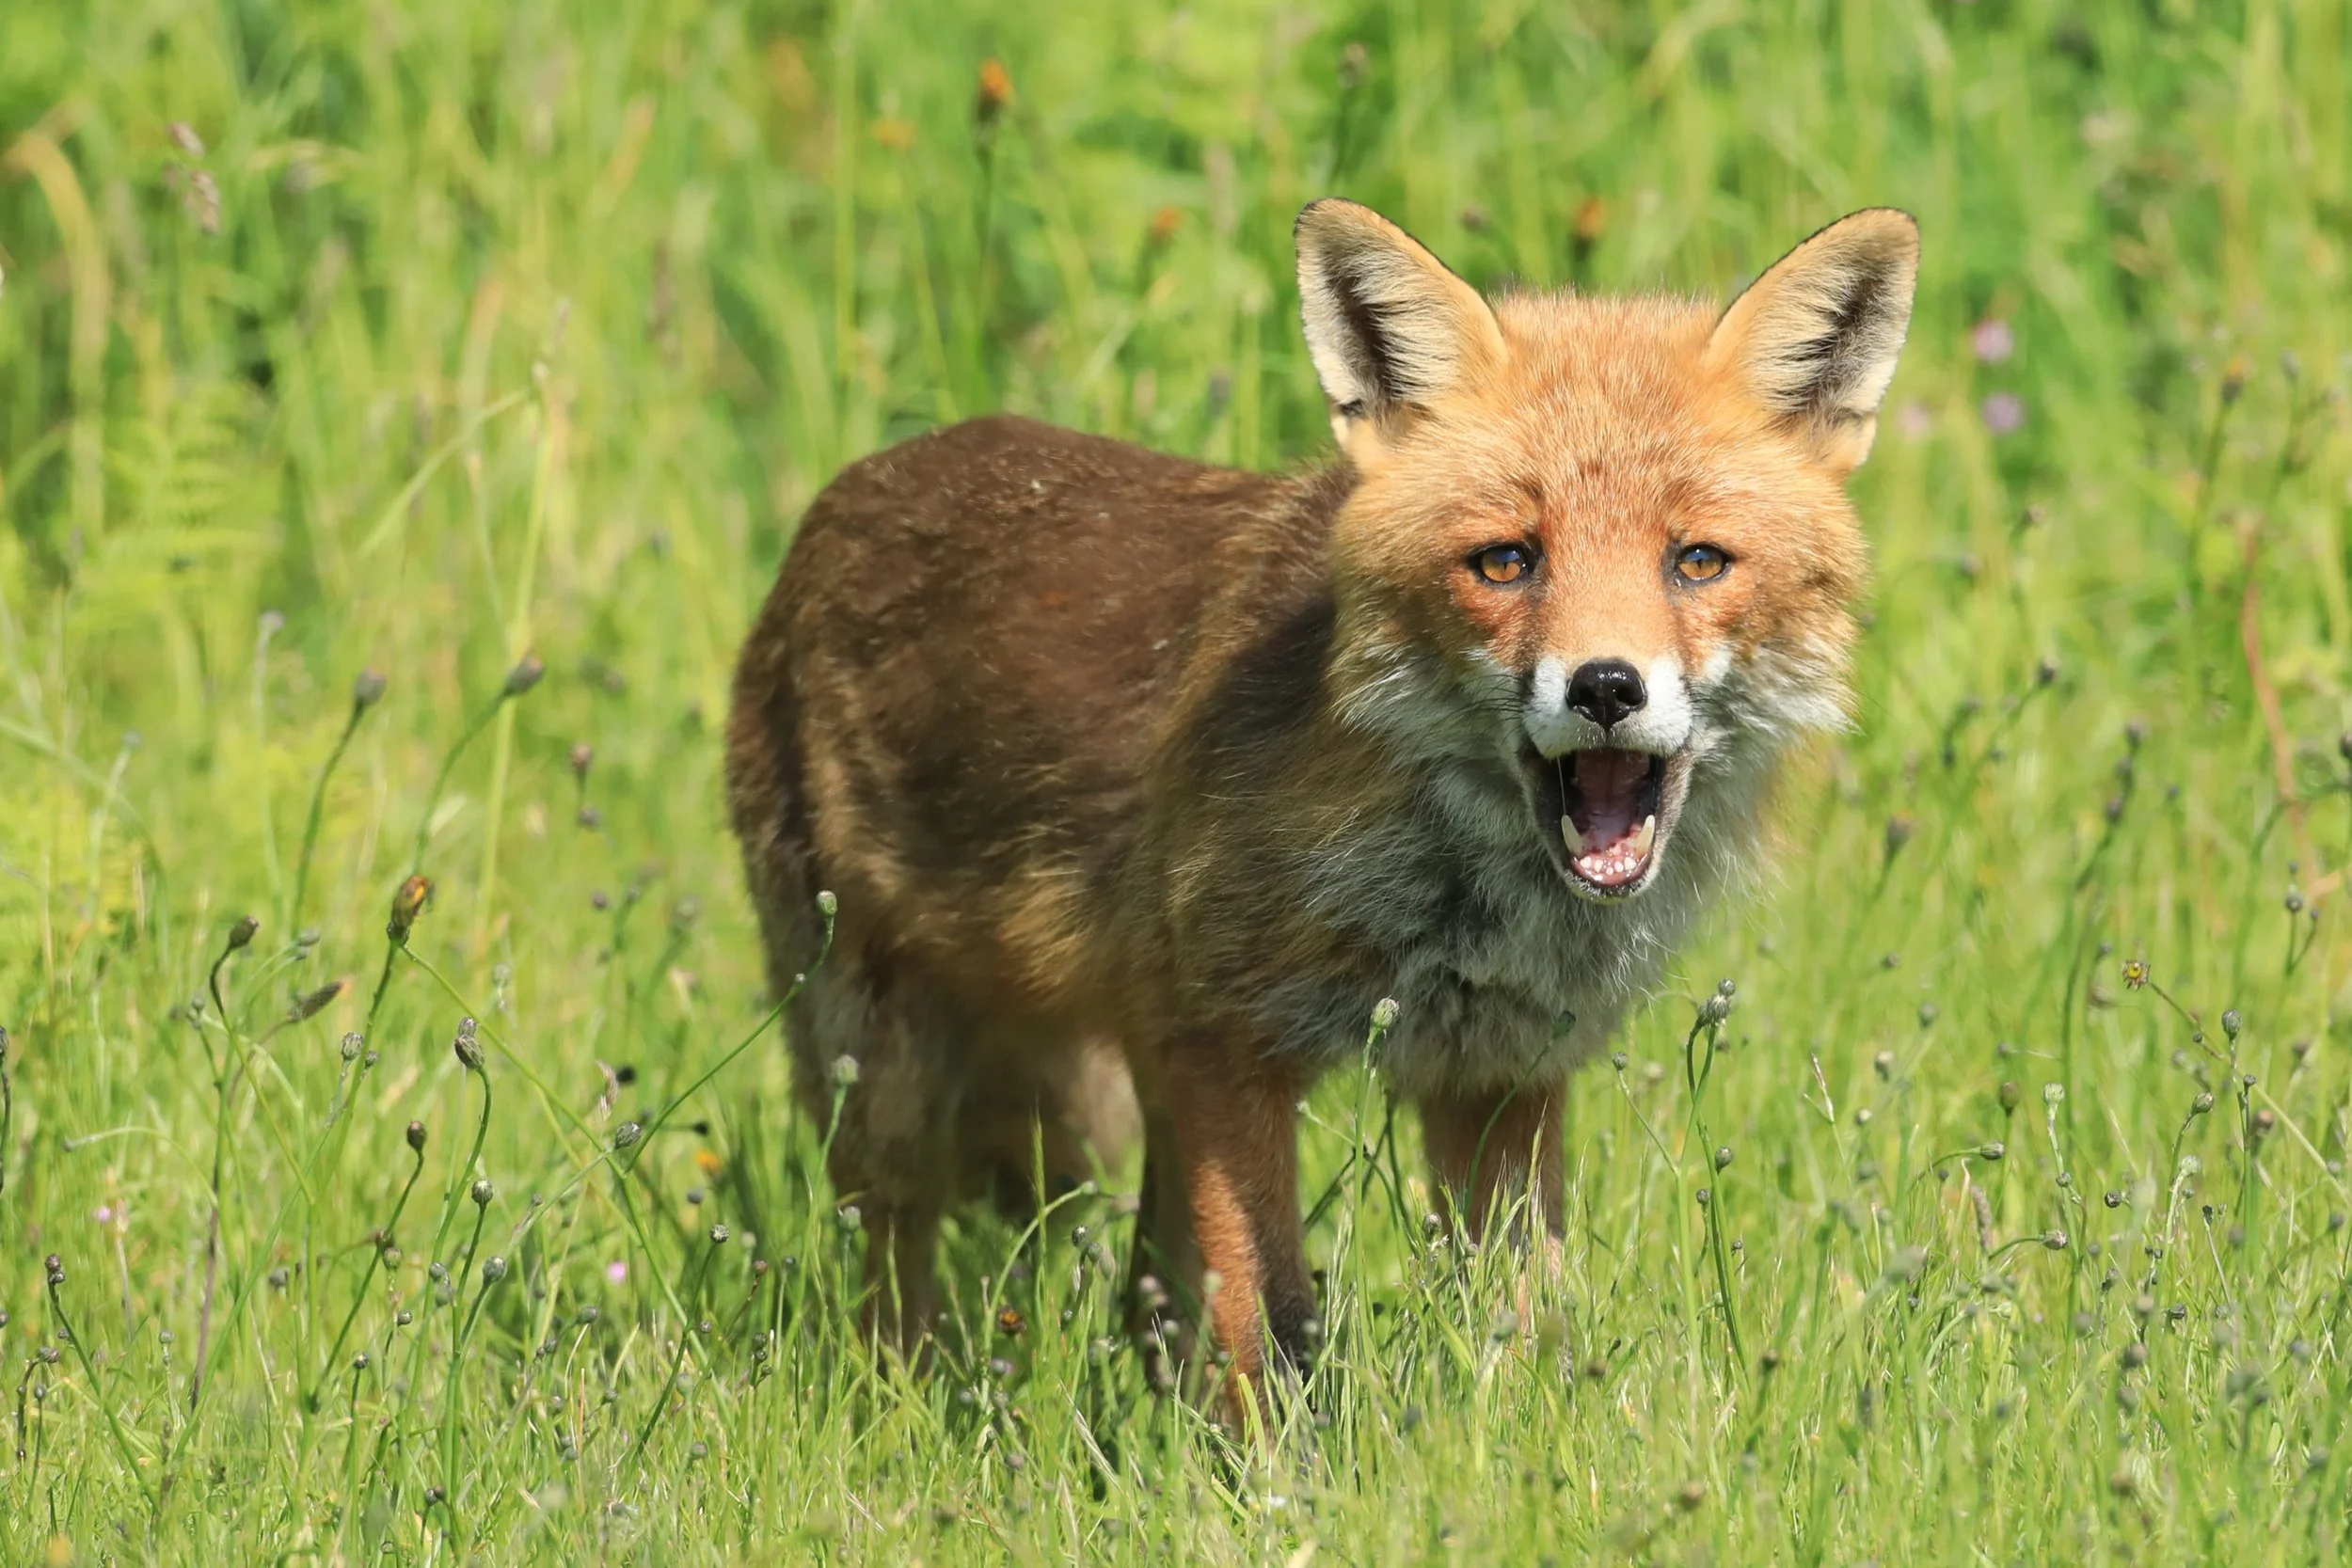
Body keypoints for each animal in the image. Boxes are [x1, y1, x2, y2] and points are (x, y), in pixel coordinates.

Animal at [726, 198, 1917, 1408]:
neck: (1450, 883)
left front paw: (1517, 1442)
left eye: (1697, 561)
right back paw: (903, 1398)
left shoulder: (1499, 1071)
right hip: (884, 1072)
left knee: (1139, 1294)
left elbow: (1520, 1323)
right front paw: (1274, 1457)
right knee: (891, 1270)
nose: (1604, 687)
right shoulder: (1230, 1042)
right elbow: (1270, 1323)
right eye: (1505, 561)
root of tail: (856, 484)